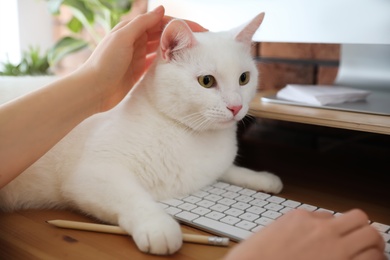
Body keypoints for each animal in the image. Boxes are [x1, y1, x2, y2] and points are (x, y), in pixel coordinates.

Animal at [0, 11, 282, 254]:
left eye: (244, 78)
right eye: (206, 81)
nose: (236, 106)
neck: (193, 136)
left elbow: (231, 170)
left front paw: (263, 178)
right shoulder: (92, 174)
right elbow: (134, 198)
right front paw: (159, 227)